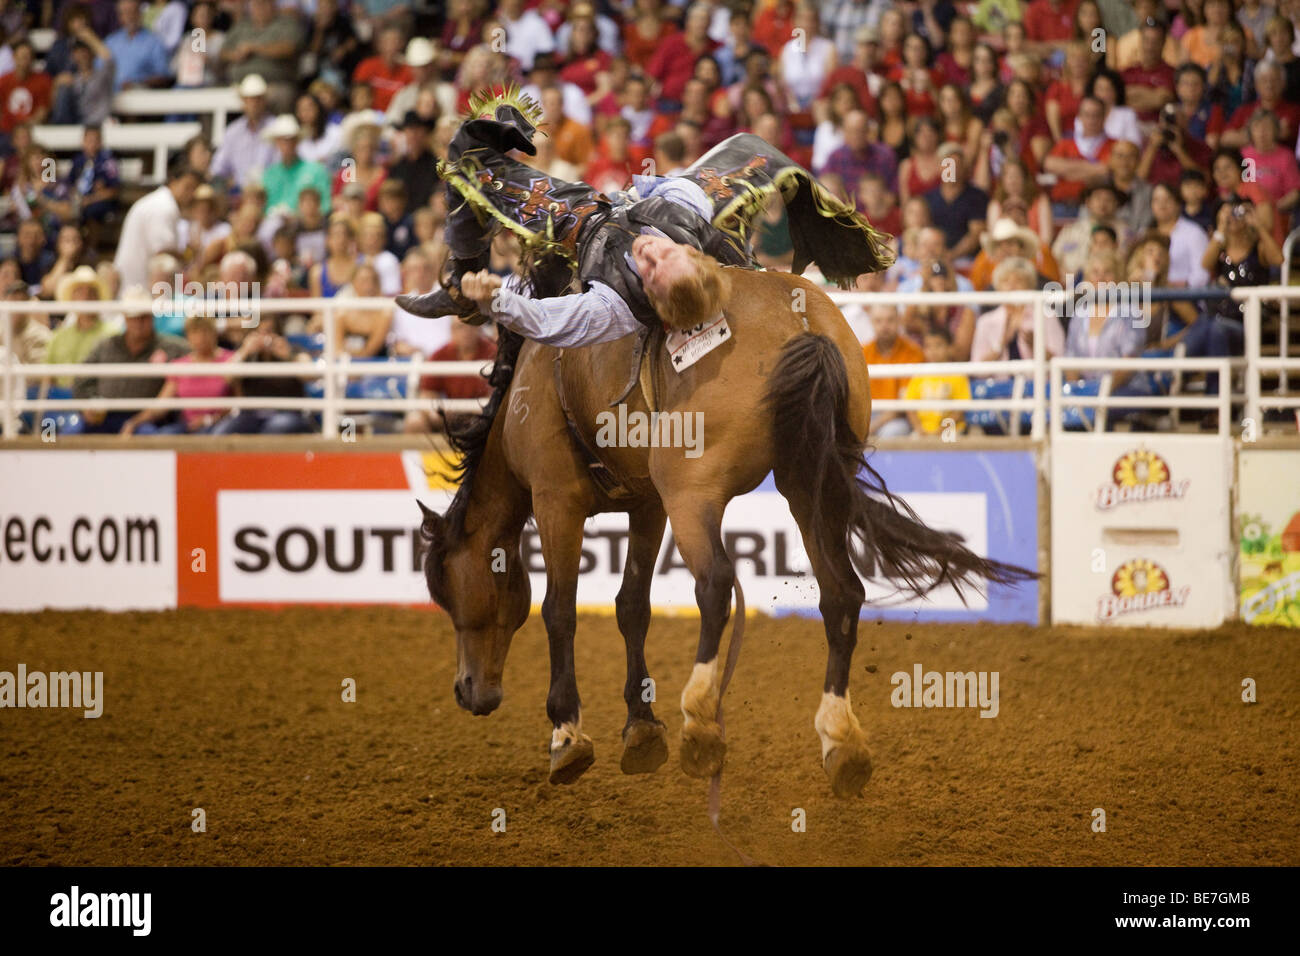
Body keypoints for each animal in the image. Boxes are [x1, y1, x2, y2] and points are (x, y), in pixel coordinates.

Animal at [421, 265, 1029, 796]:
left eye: (447, 589)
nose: (468, 691)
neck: (532, 384)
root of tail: (804, 327)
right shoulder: (647, 505)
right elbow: (631, 605)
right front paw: (641, 729)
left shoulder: (557, 502)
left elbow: (560, 611)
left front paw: (567, 735)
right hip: (811, 486)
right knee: (842, 596)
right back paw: (841, 743)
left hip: (693, 493)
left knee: (715, 585)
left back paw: (702, 728)